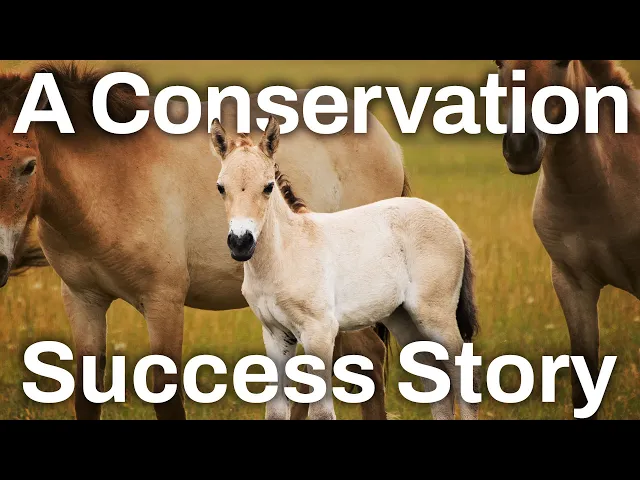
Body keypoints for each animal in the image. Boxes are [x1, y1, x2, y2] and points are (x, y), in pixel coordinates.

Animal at [0, 62, 410, 420]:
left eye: (29, 166)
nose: (1, 265)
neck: (112, 181)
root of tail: (388, 146)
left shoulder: (163, 301)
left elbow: (166, 398)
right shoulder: (83, 299)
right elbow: (86, 397)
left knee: (368, 358)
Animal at [211, 115, 480, 420]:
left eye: (268, 186)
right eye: (221, 187)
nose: (240, 243)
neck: (284, 255)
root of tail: (452, 225)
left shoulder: (320, 331)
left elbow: (321, 412)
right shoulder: (276, 335)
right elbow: (276, 411)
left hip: (436, 315)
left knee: (463, 379)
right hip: (404, 319)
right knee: (435, 382)